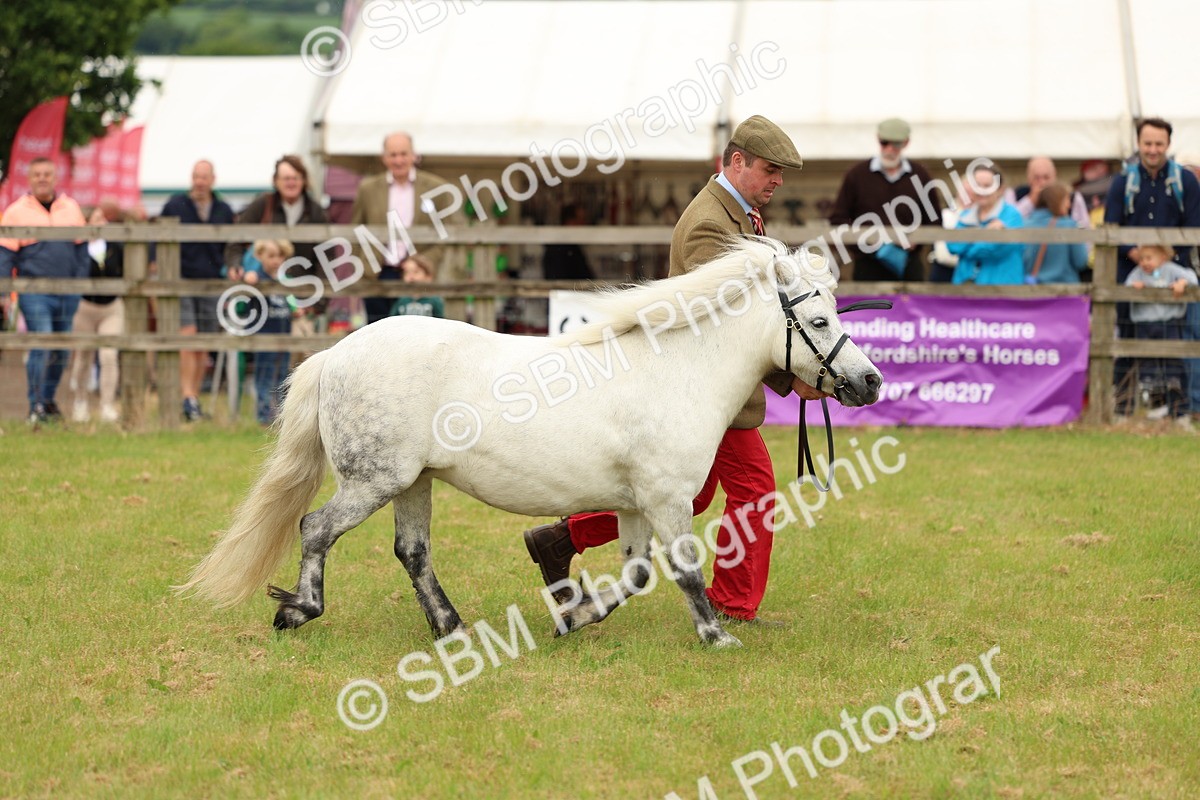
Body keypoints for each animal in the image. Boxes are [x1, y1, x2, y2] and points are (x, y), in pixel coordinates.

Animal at [175, 237, 883, 648]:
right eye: (820, 319)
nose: (870, 382)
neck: (678, 369)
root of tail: (337, 354)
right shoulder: (667, 498)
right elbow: (683, 569)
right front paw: (716, 636)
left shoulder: (635, 504)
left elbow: (635, 574)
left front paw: (574, 616)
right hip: (374, 480)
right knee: (317, 528)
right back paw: (299, 610)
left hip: (412, 483)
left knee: (412, 552)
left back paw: (451, 628)